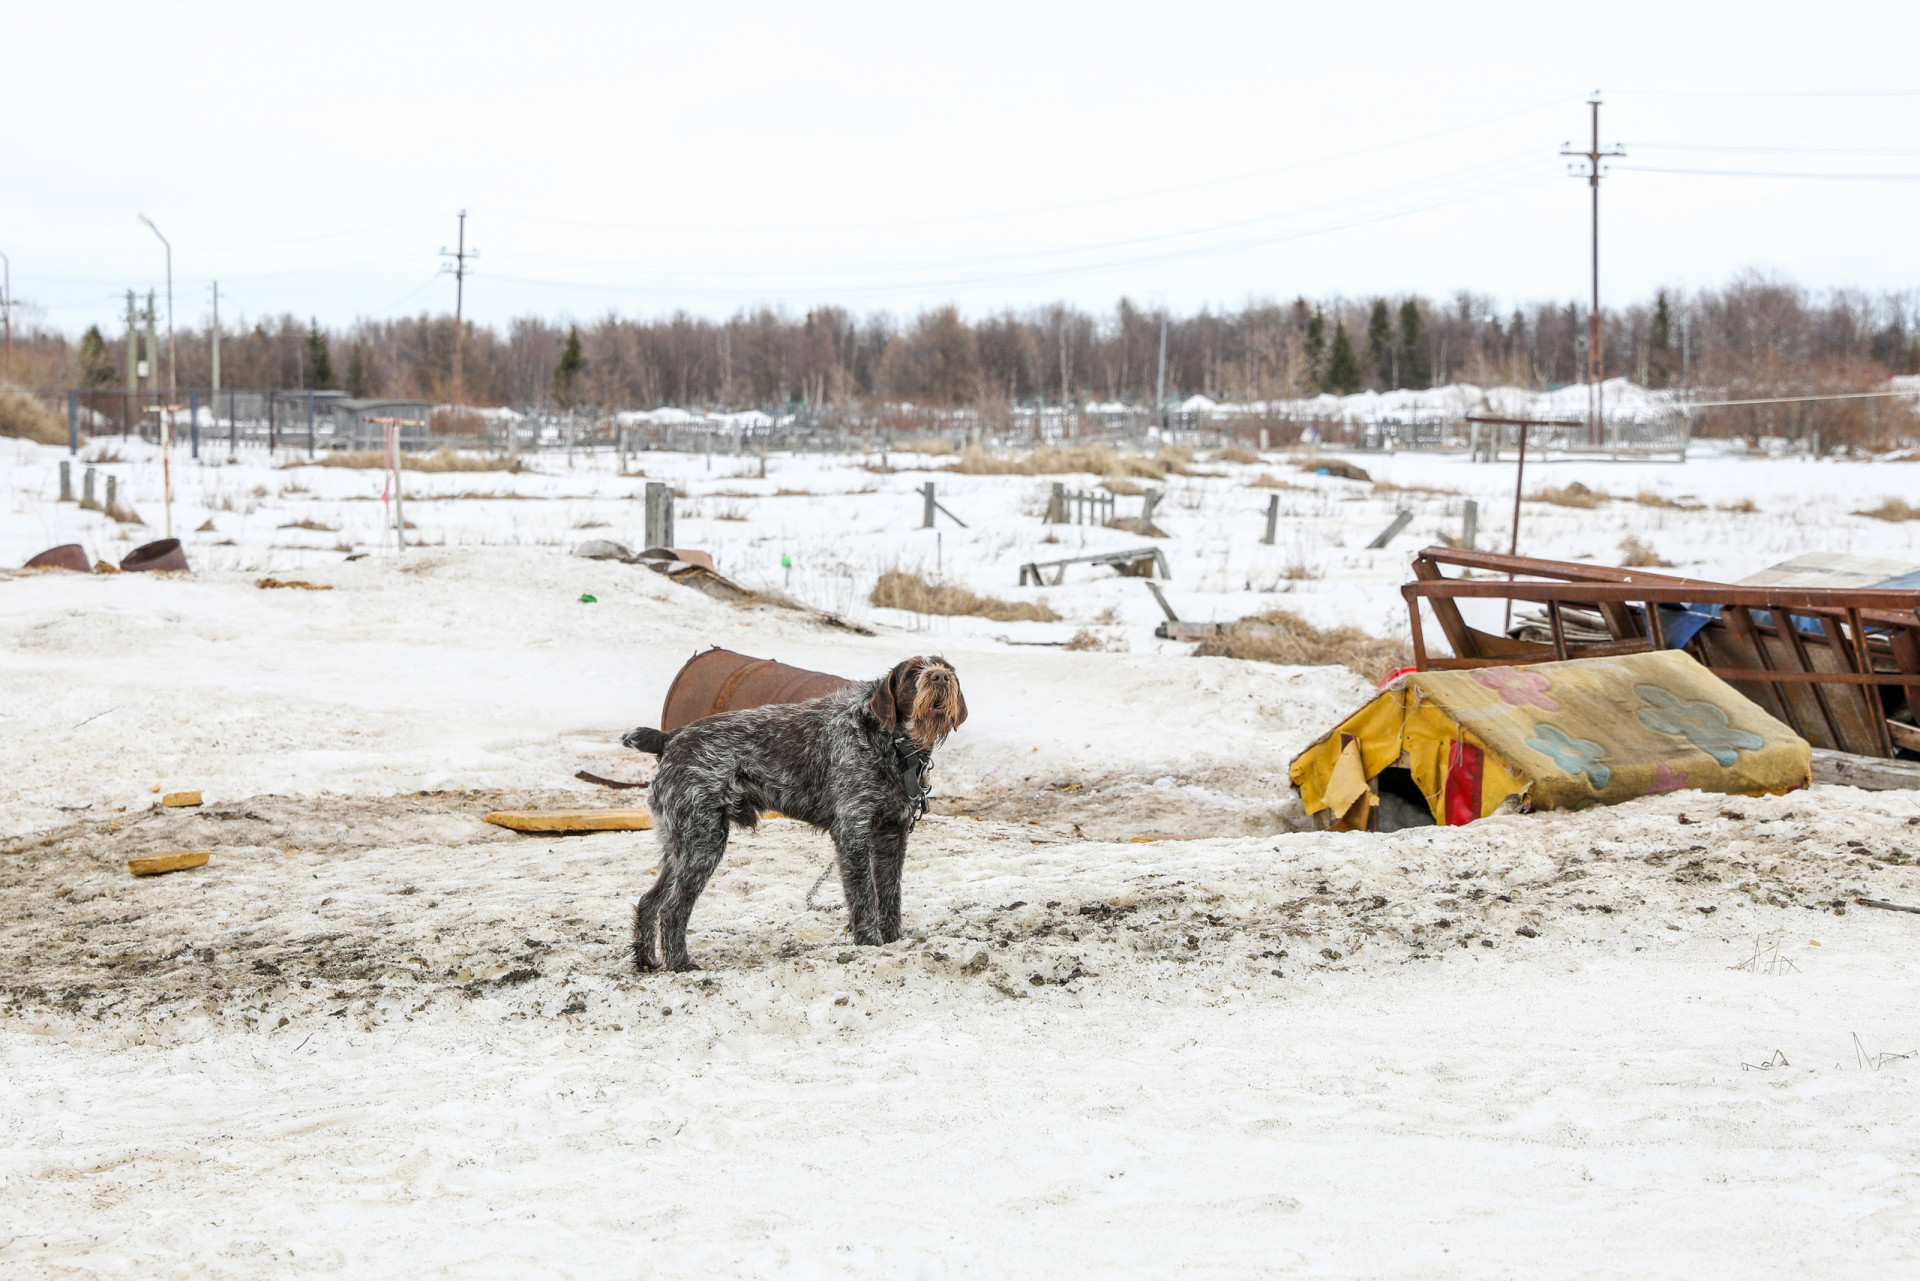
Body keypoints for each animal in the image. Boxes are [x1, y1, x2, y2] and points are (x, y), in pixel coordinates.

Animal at [622, 660, 967, 971]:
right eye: (913, 672)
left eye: (945, 666)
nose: (939, 676)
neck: (891, 744)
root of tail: (670, 738)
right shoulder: (852, 833)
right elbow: (864, 896)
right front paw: (870, 943)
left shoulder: (892, 834)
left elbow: (890, 894)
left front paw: (894, 940)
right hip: (703, 842)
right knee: (671, 910)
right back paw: (680, 965)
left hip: (680, 845)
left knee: (649, 901)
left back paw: (646, 961)